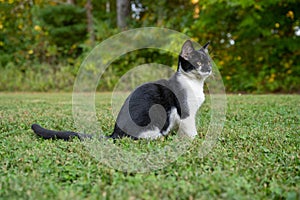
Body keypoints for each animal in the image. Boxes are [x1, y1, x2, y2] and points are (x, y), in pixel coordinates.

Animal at [31, 39, 211, 141]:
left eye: (209, 62)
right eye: (198, 63)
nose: (209, 69)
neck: (194, 83)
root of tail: (115, 132)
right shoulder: (186, 111)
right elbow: (190, 127)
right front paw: (195, 139)